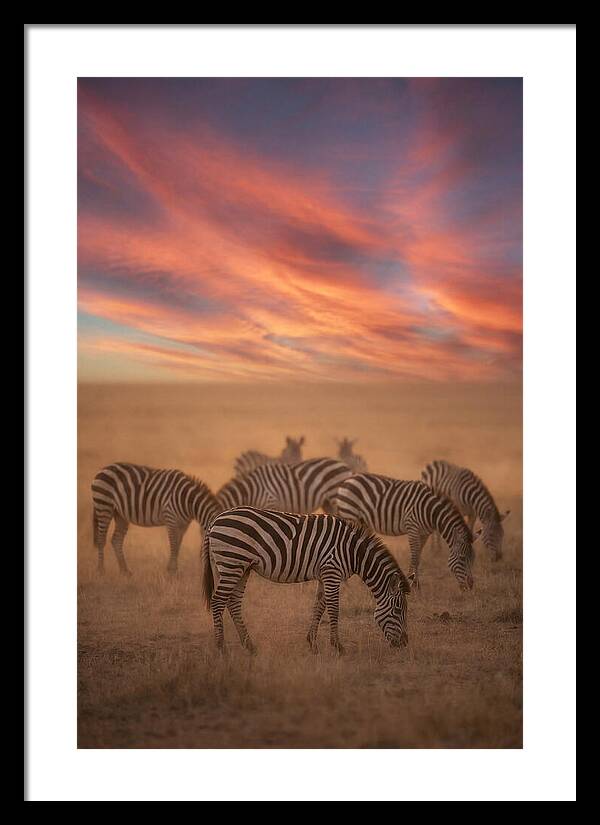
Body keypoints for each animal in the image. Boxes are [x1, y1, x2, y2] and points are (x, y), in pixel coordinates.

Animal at [92, 462, 221, 576]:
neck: (188, 501)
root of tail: (104, 468)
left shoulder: (183, 525)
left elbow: (178, 545)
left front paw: (172, 570)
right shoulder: (170, 518)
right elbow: (174, 544)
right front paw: (172, 572)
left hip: (120, 514)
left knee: (116, 540)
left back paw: (125, 571)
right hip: (104, 506)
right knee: (101, 539)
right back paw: (101, 571)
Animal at [202, 506, 410, 654]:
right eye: (398, 610)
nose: (404, 643)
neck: (353, 552)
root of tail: (216, 520)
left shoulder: (325, 574)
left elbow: (319, 606)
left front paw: (312, 643)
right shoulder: (332, 572)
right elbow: (334, 608)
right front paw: (338, 646)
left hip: (241, 567)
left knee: (233, 602)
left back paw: (249, 646)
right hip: (232, 562)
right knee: (218, 601)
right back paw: (221, 647)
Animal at [330, 473, 481, 591]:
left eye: (473, 559)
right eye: (462, 558)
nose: (470, 586)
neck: (431, 511)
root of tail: (348, 480)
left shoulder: (424, 533)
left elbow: (418, 557)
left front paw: (415, 583)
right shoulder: (412, 527)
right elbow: (414, 556)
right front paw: (414, 583)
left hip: (362, 521)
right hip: (350, 513)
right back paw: (346, 584)